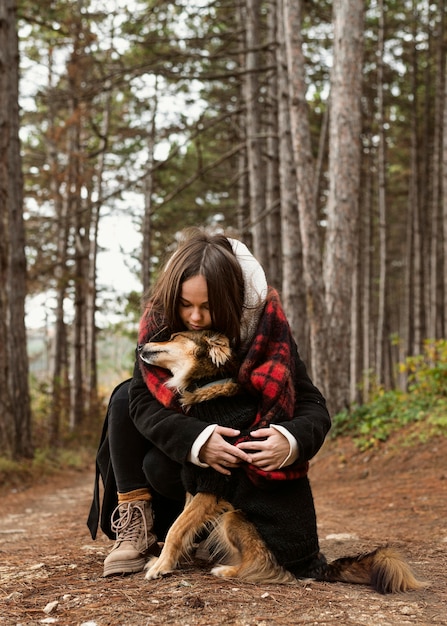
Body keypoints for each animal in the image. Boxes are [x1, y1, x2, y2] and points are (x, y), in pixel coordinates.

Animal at [138, 326, 426, 588]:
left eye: (175, 336)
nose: (139, 346)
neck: (209, 385)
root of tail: (315, 565)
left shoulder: (214, 483)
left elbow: (176, 528)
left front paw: (161, 566)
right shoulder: (195, 483)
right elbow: (183, 526)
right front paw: (168, 561)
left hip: (235, 517)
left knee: (267, 567)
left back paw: (228, 570)